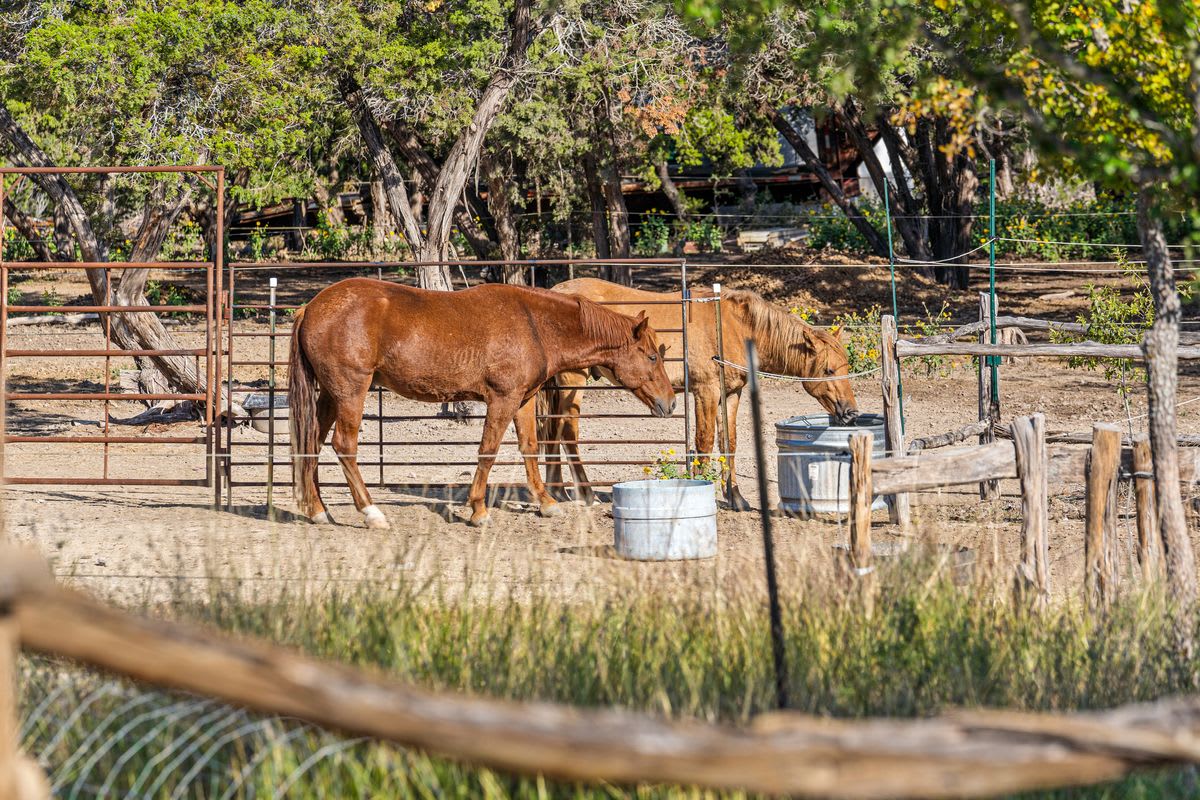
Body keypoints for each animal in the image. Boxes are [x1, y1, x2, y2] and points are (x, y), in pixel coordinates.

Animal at [289, 278, 676, 527]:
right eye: (652, 356)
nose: (670, 403)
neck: (535, 324)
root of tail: (309, 308)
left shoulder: (523, 400)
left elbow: (529, 448)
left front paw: (546, 503)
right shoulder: (502, 399)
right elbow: (488, 450)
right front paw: (478, 510)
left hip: (330, 395)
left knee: (311, 444)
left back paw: (317, 511)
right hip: (350, 391)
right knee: (344, 446)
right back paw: (371, 513)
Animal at [540, 278, 859, 510]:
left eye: (846, 365)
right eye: (829, 370)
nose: (851, 412)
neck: (733, 326)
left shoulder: (731, 394)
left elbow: (729, 442)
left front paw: (736, 498)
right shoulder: (706, 391)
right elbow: (704, 441)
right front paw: (705, 487)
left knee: (553, 429)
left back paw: (558, 492)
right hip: (573, 381)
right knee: (567, 430)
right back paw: (585, 494)